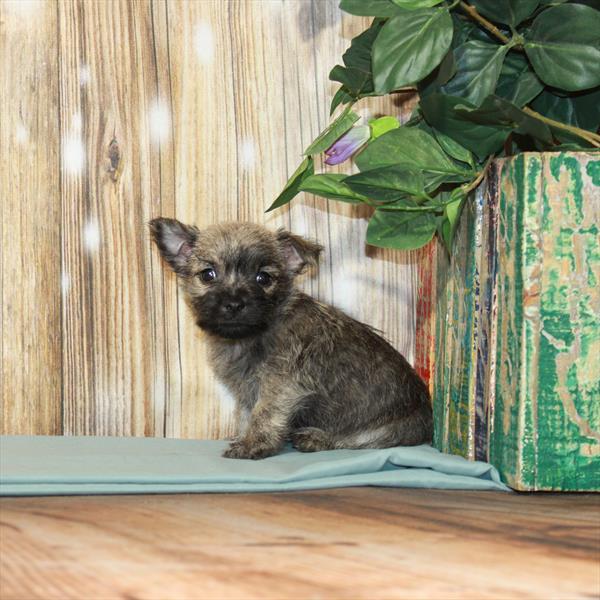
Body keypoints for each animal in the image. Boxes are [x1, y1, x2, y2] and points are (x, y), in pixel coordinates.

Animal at [149, 219, 432, 460]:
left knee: (356, 441)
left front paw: (253, 444)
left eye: (263, 278)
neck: (258, 331)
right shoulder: (249, 390)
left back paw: (316, 438)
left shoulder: (281, 386)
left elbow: (263, 414)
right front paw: (244, 437)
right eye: (208, 275)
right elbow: (246, 414)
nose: (234, 303)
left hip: (386, 431)